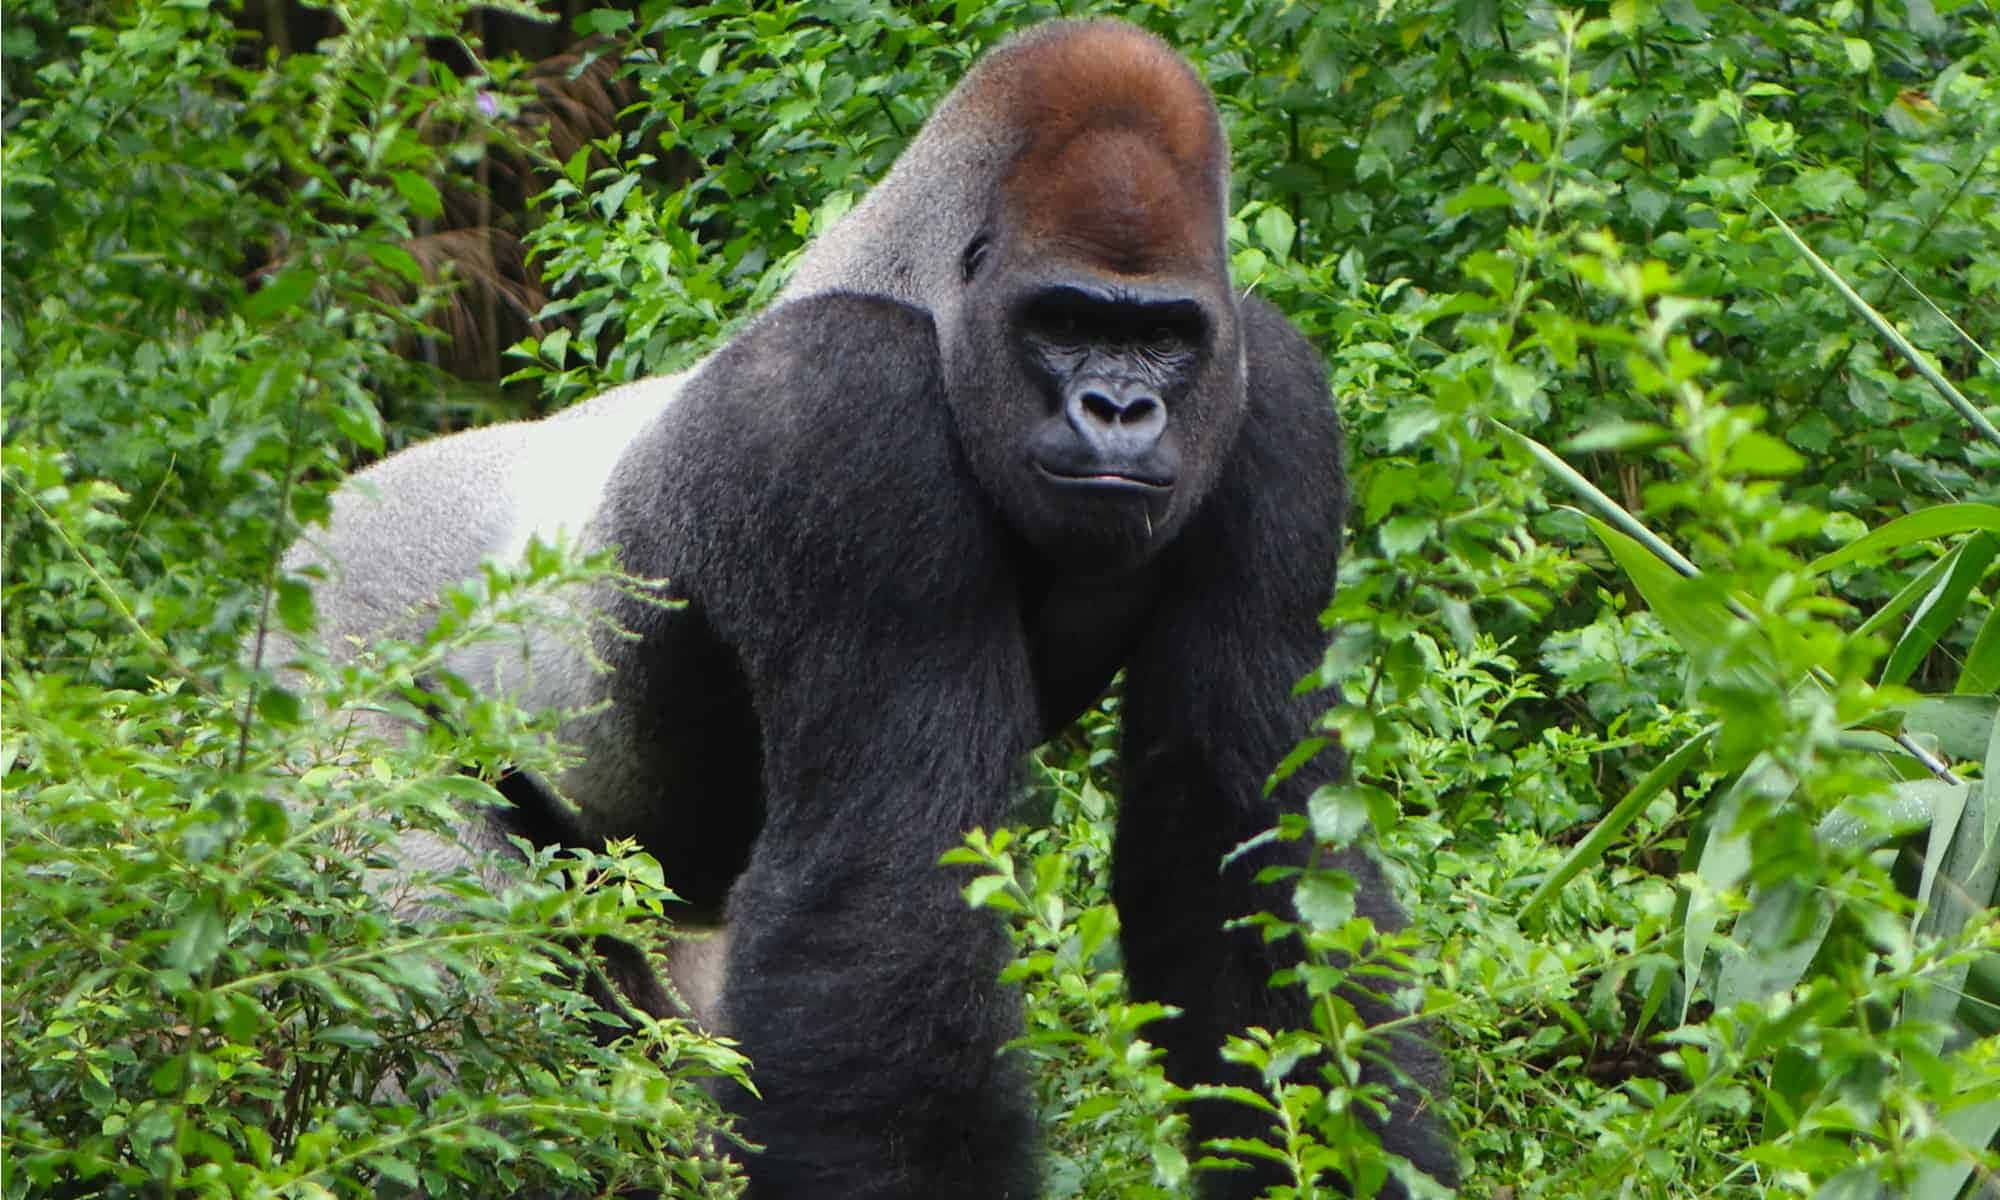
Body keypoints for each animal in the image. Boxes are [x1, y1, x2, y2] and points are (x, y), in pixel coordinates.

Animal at [281, 18, 1457, 1199]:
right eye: (1064, 320)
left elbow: (1251, 842)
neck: (922, 297)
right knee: (432, 971)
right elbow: (889, 904)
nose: (1121, 409)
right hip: (325, 660)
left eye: (1165, 335)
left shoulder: (1276, 400)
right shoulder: (843, 407)